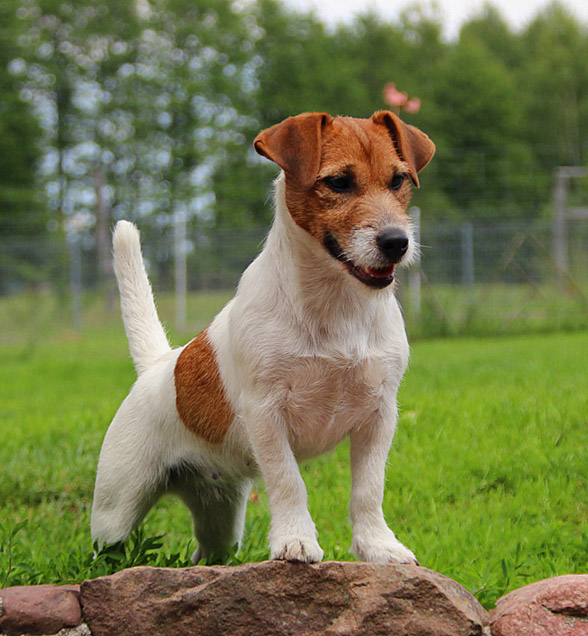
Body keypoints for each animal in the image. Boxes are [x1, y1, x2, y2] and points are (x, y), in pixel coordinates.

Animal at [89, 112, 434, 564]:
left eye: (398, 180)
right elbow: (289, 480)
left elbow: (369, 488)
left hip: (220, 518)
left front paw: (378, 546)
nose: (397, 242)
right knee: (107, 547)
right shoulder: (266, 412)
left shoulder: (379, 415)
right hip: (115, 510)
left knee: (208, 554)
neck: (335, 305)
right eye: (339, 182)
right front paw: (296, 540)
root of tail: (158, 364)